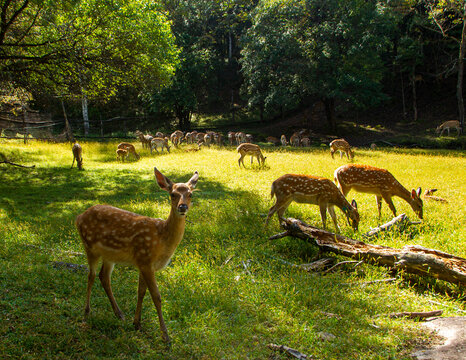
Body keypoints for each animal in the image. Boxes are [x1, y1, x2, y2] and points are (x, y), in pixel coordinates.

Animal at [76, 167, 198, 344]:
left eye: (190, 194)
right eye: (173, 194)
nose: (182, 207)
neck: (162, 239)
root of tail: (79, 217)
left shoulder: (143, 262)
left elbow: (141, 292)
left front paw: (137, 324)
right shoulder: (146, 260)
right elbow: (156, 297)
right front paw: (166, 336)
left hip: (109, 255)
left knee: (103, 277)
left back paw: (119, 314)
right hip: (89, 246)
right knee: (91, 275)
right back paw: (86, 313)